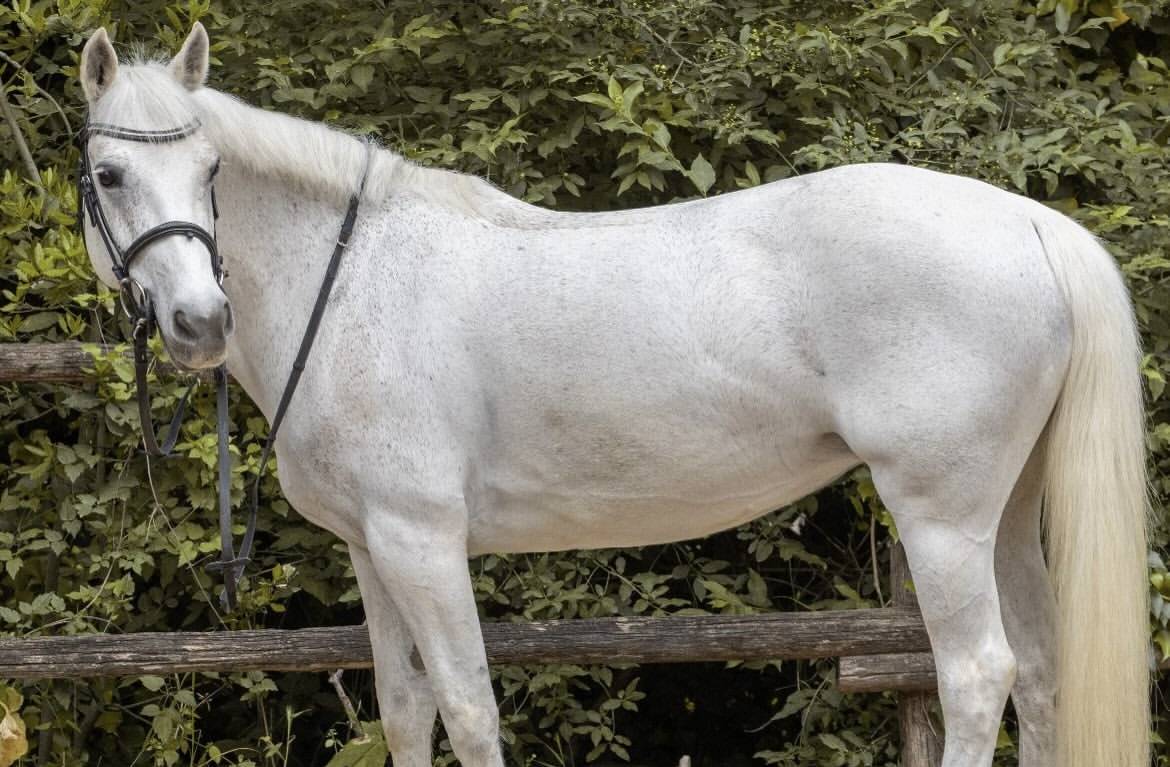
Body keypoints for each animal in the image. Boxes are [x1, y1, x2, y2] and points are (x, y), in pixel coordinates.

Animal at [75, 23, 1149, 767]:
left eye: (212, 168)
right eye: (110, 172)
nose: (201, 322)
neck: (352, 280)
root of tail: (1031, 223)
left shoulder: (423, 541)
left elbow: (468, 704)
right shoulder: (374, 550)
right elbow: (406, 709)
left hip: (941, 519)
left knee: (977, 675)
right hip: (1005, 515)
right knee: (1041, 672)